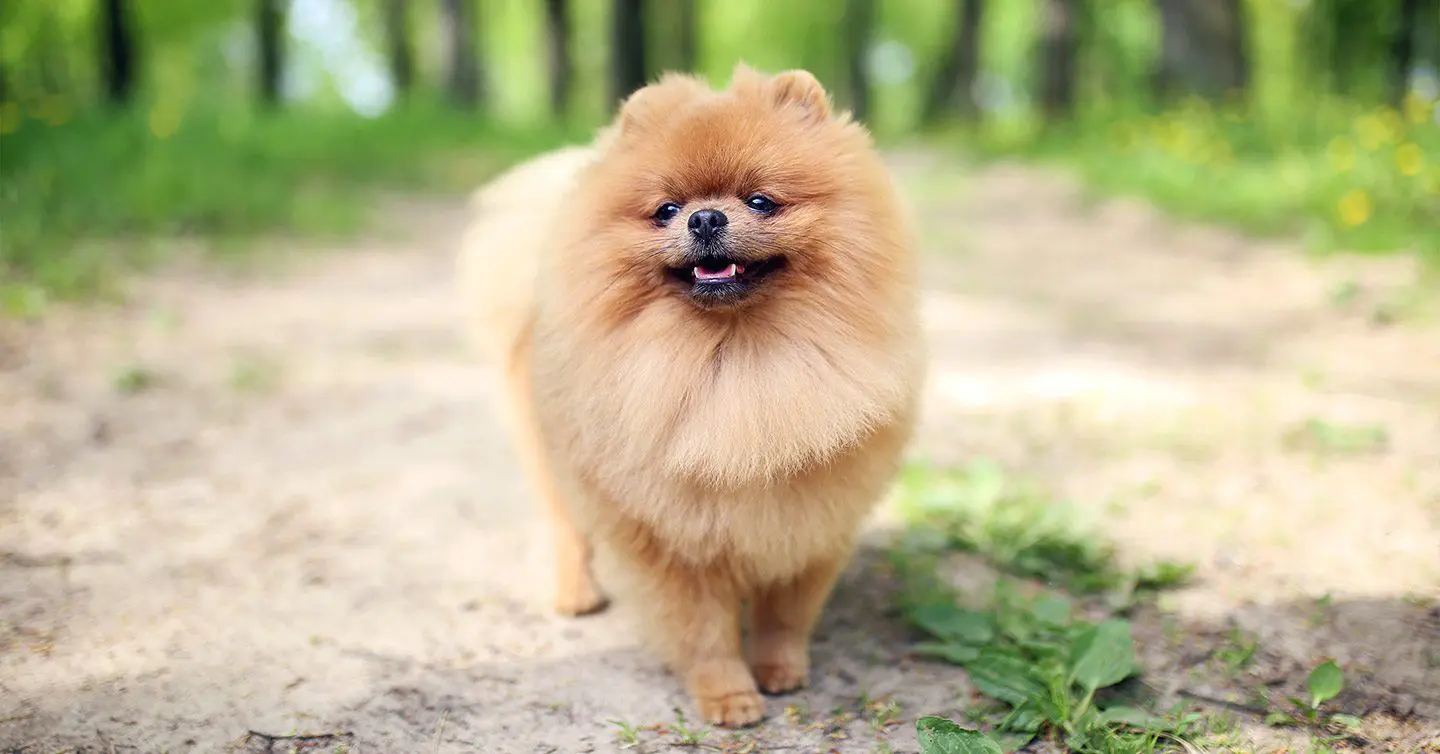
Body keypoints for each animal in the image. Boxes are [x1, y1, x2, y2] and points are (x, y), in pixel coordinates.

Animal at [463, 66, 933, 730]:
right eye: (666, 210)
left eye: (761, 200)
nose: (705, 218)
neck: (736, 366)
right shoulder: (670, 540)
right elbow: (704, 630)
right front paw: (730, 697)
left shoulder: (812, 518)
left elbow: (786, 612)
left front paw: (780, 669)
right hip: (550, 453)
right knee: (566, 525)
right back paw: (576, 593)